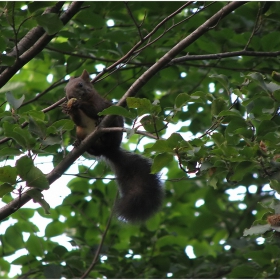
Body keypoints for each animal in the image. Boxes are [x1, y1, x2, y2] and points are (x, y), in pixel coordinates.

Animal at [62, 69, 164, 223]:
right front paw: (68, 109)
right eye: (65, 89)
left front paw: (79, 104)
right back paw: (79, 143)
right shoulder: (79, 123)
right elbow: (78, 120)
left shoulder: (99, 104)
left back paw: (103, 133)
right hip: (81, 132)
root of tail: (109, 150)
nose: (70, 96)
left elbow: (95, 110)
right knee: (94, 150)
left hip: (114, 123)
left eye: (80, 85)